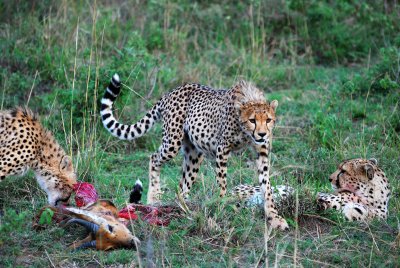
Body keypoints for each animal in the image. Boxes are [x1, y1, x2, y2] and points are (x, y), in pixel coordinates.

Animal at [100, 74, 288, 230]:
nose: (262, 134)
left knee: (182, 185)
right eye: (252, 120)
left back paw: (186, 209)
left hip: (194, 153)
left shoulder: (262, 152)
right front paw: (220, 207)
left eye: (268, 120)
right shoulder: (222, 149)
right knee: (153, 158)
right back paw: (154, 198)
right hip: (172, 143)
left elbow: (267, 187)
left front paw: (275, 218)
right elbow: (222, 184)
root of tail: (172, 91)